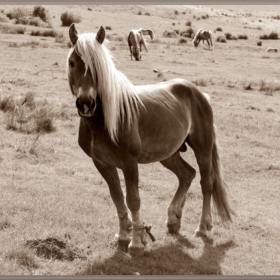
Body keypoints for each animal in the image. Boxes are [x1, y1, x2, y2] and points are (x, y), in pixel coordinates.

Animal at [66, 23, 234, 256]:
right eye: (72, 62)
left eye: (98, 67)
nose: (85, 103)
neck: (105, 121)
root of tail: (199, 93)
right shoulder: (101, 163)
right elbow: (117, 197)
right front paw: (123, 235)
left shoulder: (129, 163)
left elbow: (133, 200)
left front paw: (136, 242)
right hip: (169, 154)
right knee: (187, 175)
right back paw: (173, 220)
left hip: (202, 148)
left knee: (206, 182)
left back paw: (202, 227)